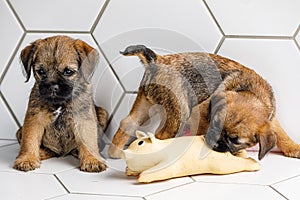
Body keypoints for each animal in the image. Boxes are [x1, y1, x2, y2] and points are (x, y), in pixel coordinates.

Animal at [13, 35, 109, 172]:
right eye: (41, 71)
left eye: (68, 71)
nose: (53, 87)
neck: (61, 103)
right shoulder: (34, 119)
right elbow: (29, 140)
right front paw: (27, 158)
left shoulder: (84, 119)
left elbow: (88, 140)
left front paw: (92, 160)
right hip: (20, 131)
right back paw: (40, 153)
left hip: (103, 112)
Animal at [109, 44, 300, 160]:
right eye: (215, 124)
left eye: (235, 140)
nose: (214, 143)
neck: (252, 91)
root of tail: (157, 61)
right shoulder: (199, 113)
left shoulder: (271, 117)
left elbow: (281, 134)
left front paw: (293, 148)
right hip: (179, 113)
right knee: (160, 135)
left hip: (145, 103)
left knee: (128, 122)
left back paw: (116, 152)